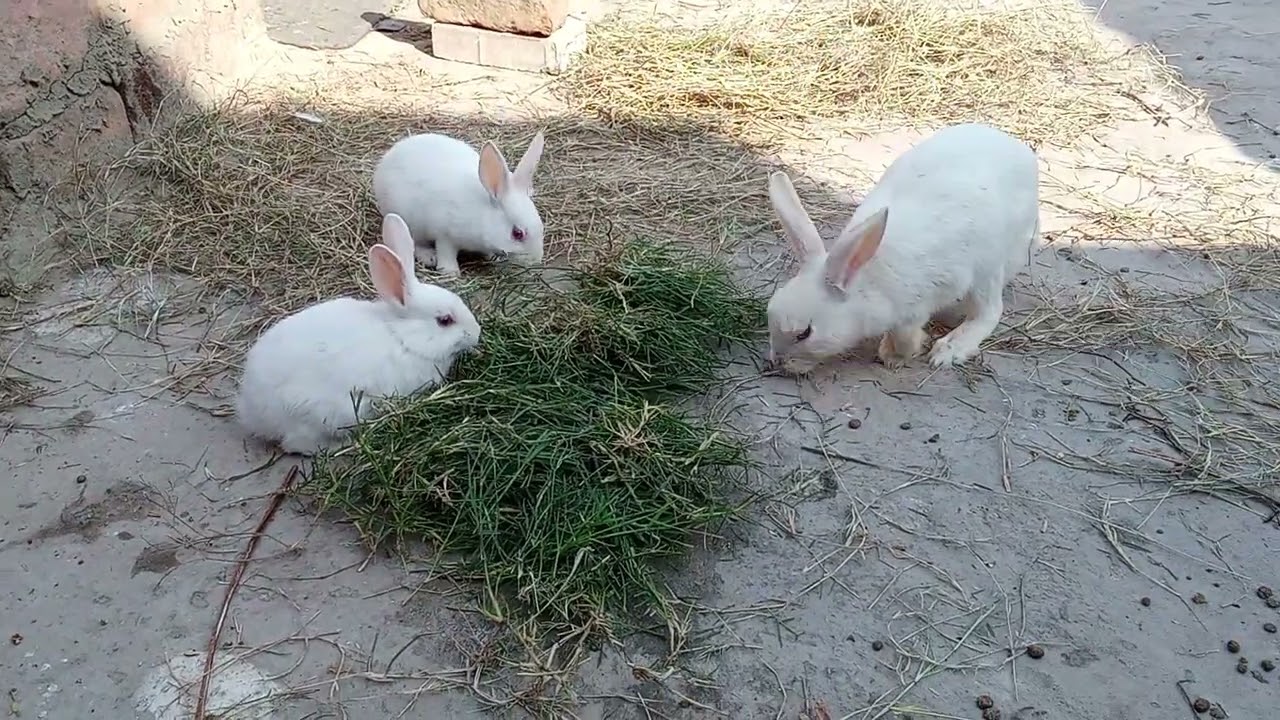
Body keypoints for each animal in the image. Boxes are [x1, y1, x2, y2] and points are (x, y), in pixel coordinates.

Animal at [234, 213, 482, 456]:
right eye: (445, 321)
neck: (402, 337)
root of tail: (253, 411)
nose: (477, 333)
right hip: (324, 415)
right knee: (299, 445)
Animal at [371, 130, 546, 276]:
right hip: (410, 222)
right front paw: (450, 272)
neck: (483, 215)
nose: (536, 260)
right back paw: (429, 257)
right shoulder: (444, 235)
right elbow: (446, 252)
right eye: (517, 233)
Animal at [764, 122, 1040, 375]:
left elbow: (904, 336)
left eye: (805, 333)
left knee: (988, 312)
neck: (865, 283)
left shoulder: (912, 311)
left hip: (987, 269)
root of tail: (1023, 155)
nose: (777, 362)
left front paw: (894, 357)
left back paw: (949, 350)